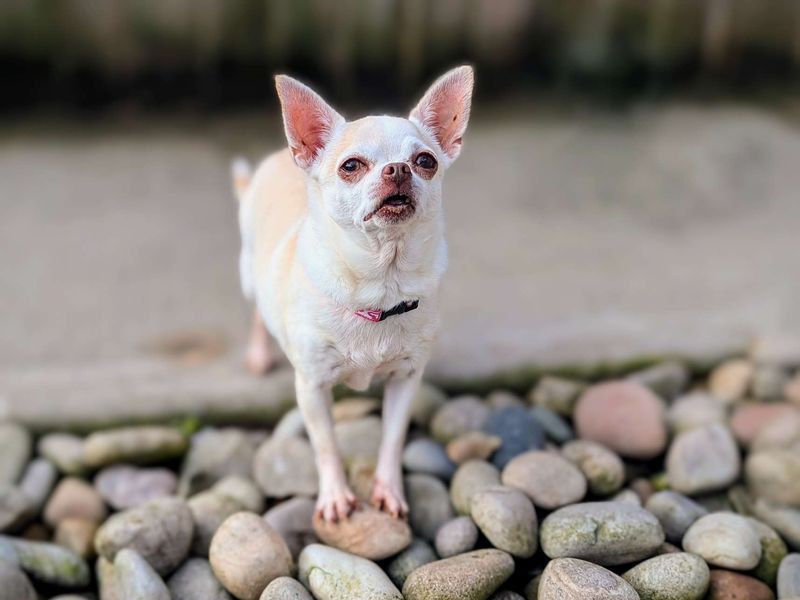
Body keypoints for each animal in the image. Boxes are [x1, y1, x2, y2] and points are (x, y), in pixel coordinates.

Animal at [231, 65, 472, 520]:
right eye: (351, 166)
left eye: (425, 162)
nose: (398, 169)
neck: (381, 285)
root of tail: (279, 156)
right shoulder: (311, 388)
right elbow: (326, 445)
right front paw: (336, 496)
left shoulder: (405, 379)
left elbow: (392, 439)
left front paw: (390, 490)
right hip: (250, 274)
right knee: (255, 311)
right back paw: (256, 352)